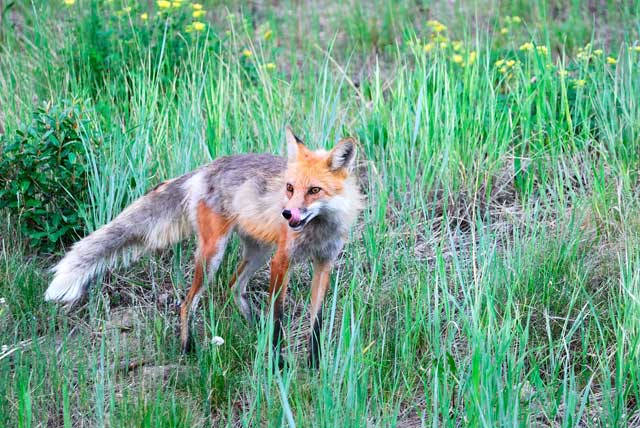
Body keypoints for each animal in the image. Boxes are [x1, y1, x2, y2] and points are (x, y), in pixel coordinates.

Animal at [43, 127, 364, 368]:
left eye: (314, 190)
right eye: (289, 188)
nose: (287, 214)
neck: (318, 230)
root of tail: (206, 168)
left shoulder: (324, 264)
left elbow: (316, 322)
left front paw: (315, 365)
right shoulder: (282, 260)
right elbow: (278, 318)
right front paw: (278, 363)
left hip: (258, 252)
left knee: (234, 286)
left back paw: (252, 328)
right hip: (214, 254)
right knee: (188, 303)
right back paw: (188, 349)